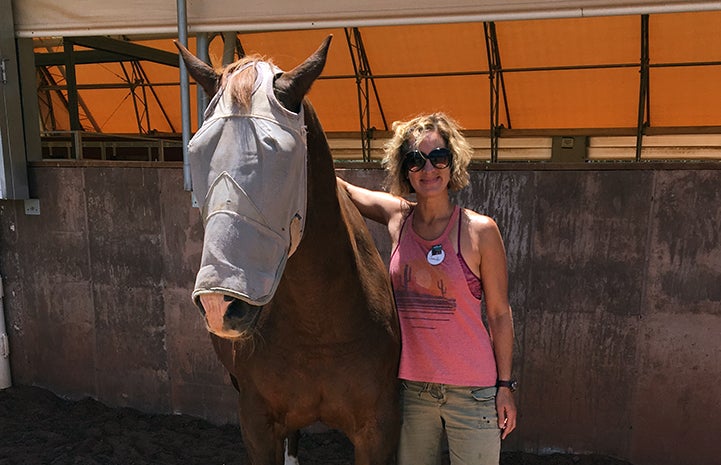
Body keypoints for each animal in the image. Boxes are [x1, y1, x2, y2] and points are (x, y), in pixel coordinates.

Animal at [174, 37, 400, 464]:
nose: (220, 304)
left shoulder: (377, 429)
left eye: (279, 152)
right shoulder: (256, 424)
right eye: (195, 151)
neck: (318, 328)